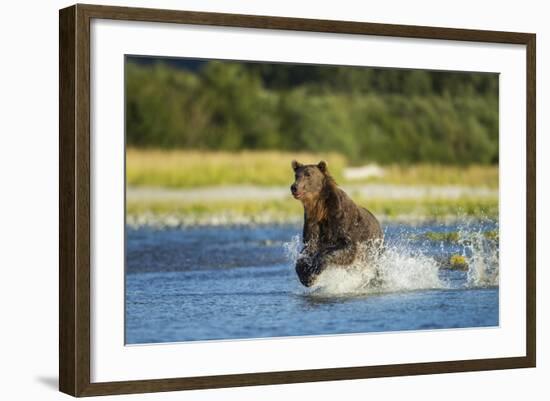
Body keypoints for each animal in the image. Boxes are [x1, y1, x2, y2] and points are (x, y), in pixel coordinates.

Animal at [294, 158, 384, 286]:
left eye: (308, 174)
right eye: (296, 175)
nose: (294, 187)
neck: (320, 208)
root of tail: (377, 221)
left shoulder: (340, 220)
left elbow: (345, 248)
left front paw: (316, 268)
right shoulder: (312, 222)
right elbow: (307, 250)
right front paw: (306, 276)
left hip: (373, 247)